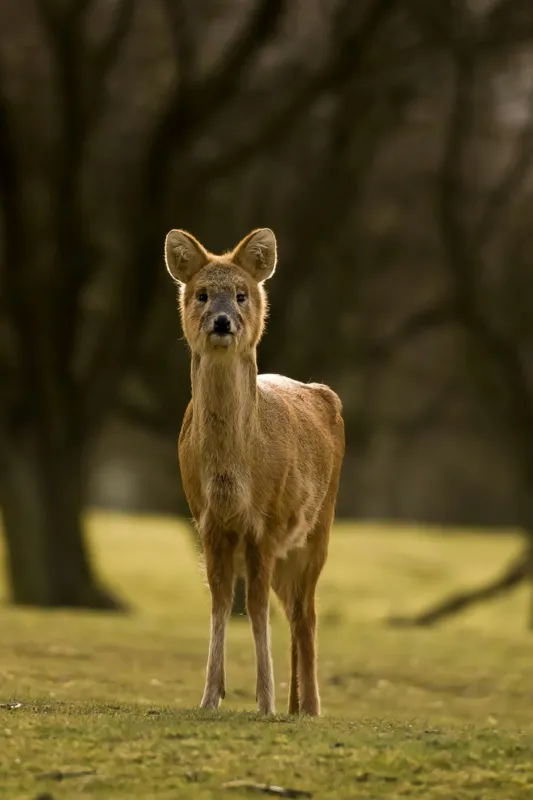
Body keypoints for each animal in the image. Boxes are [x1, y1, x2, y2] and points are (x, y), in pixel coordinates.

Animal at [164, 227, 345, 717]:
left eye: (242, 294)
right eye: (203, 294)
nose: (222, 321)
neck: (234, 477)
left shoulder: (264, 521)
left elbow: (256, 607)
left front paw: (263, 701)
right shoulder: (206, 520)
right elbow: (221, 602)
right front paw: (210, 697)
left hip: (318, 526)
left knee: (306, 612)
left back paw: (310, 707)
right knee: (294, 610)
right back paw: (296, 705)